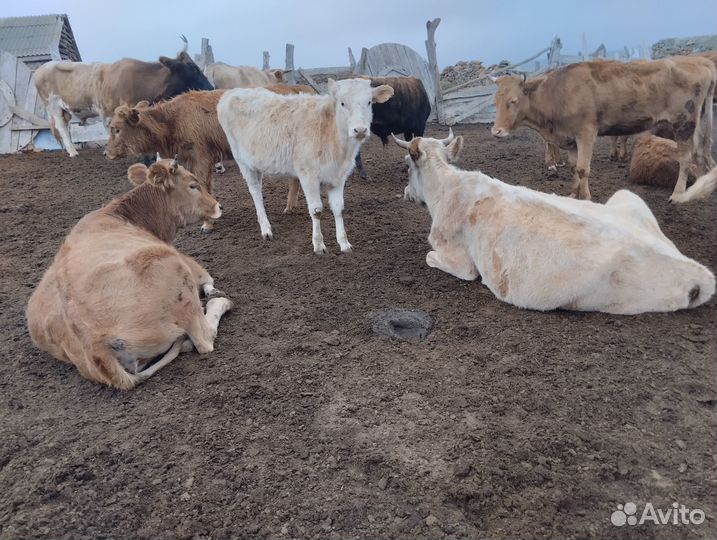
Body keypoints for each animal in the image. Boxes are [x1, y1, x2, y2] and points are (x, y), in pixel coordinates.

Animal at [26, 158, 231, 389]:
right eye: (193, 185)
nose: (219, 206)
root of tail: (92, 343)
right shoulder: (185, 261)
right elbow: (207, 279)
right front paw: (213, 292)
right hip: (170, 266)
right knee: (203, 340)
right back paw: (220, 302)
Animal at [34, 37, 213, 157]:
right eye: (194, 68)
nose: (211, 87)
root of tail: (41, 68)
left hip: (65, 110)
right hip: (54, 107)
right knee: (61, 128)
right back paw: (72, 152)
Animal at [217, 78, 393, 254]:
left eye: (369, 102)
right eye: (342, 103)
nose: (360, 130)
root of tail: (233, 92)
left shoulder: (338, 176)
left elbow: (339, 208)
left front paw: (344, 243)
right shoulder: (307, 175)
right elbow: (316, 211)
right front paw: (319, 244)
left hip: (256, 162)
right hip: (243, 161)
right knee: (255, 192)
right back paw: (266, 229)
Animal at [393, 131, 715, 314]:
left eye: (406, 165)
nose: (406, 193)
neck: (447, 188)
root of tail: (698, 272)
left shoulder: (460, 262)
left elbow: (431, 256)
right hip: (627, 197)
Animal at [492, 57, 716, 200]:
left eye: (513, 101)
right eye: (495, 101)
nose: (496, 131)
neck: (557, 93)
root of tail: (700, 63)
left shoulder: (586, 133)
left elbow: (583, 168)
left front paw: (586, 197)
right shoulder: (571, 139)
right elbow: (574, 166)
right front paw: (573, 193)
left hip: (684, 124)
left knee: (686, 160)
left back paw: (678, 194)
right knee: (702, 156)